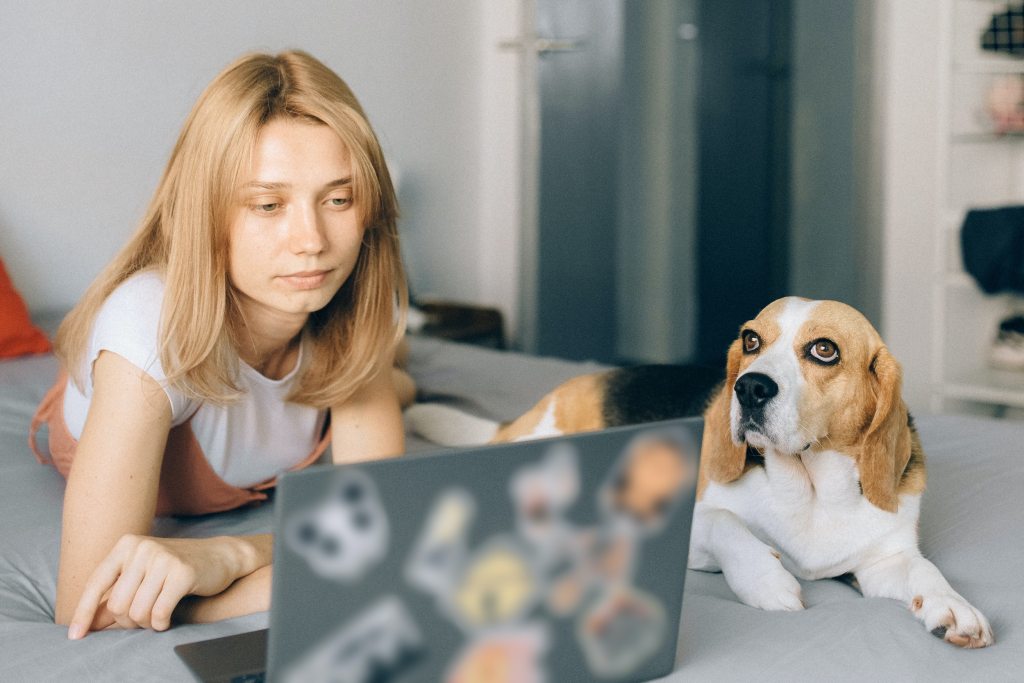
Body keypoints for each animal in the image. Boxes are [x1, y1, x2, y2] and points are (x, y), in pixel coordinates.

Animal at [407, 296, 991, 647]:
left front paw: (954, 607)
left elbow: (924, 571)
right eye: (752, 340)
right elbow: (724, 523)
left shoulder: (881, 561)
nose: (749, 387)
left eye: (824, 350)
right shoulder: (692, 530)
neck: (809, 489)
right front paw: (766, 579)